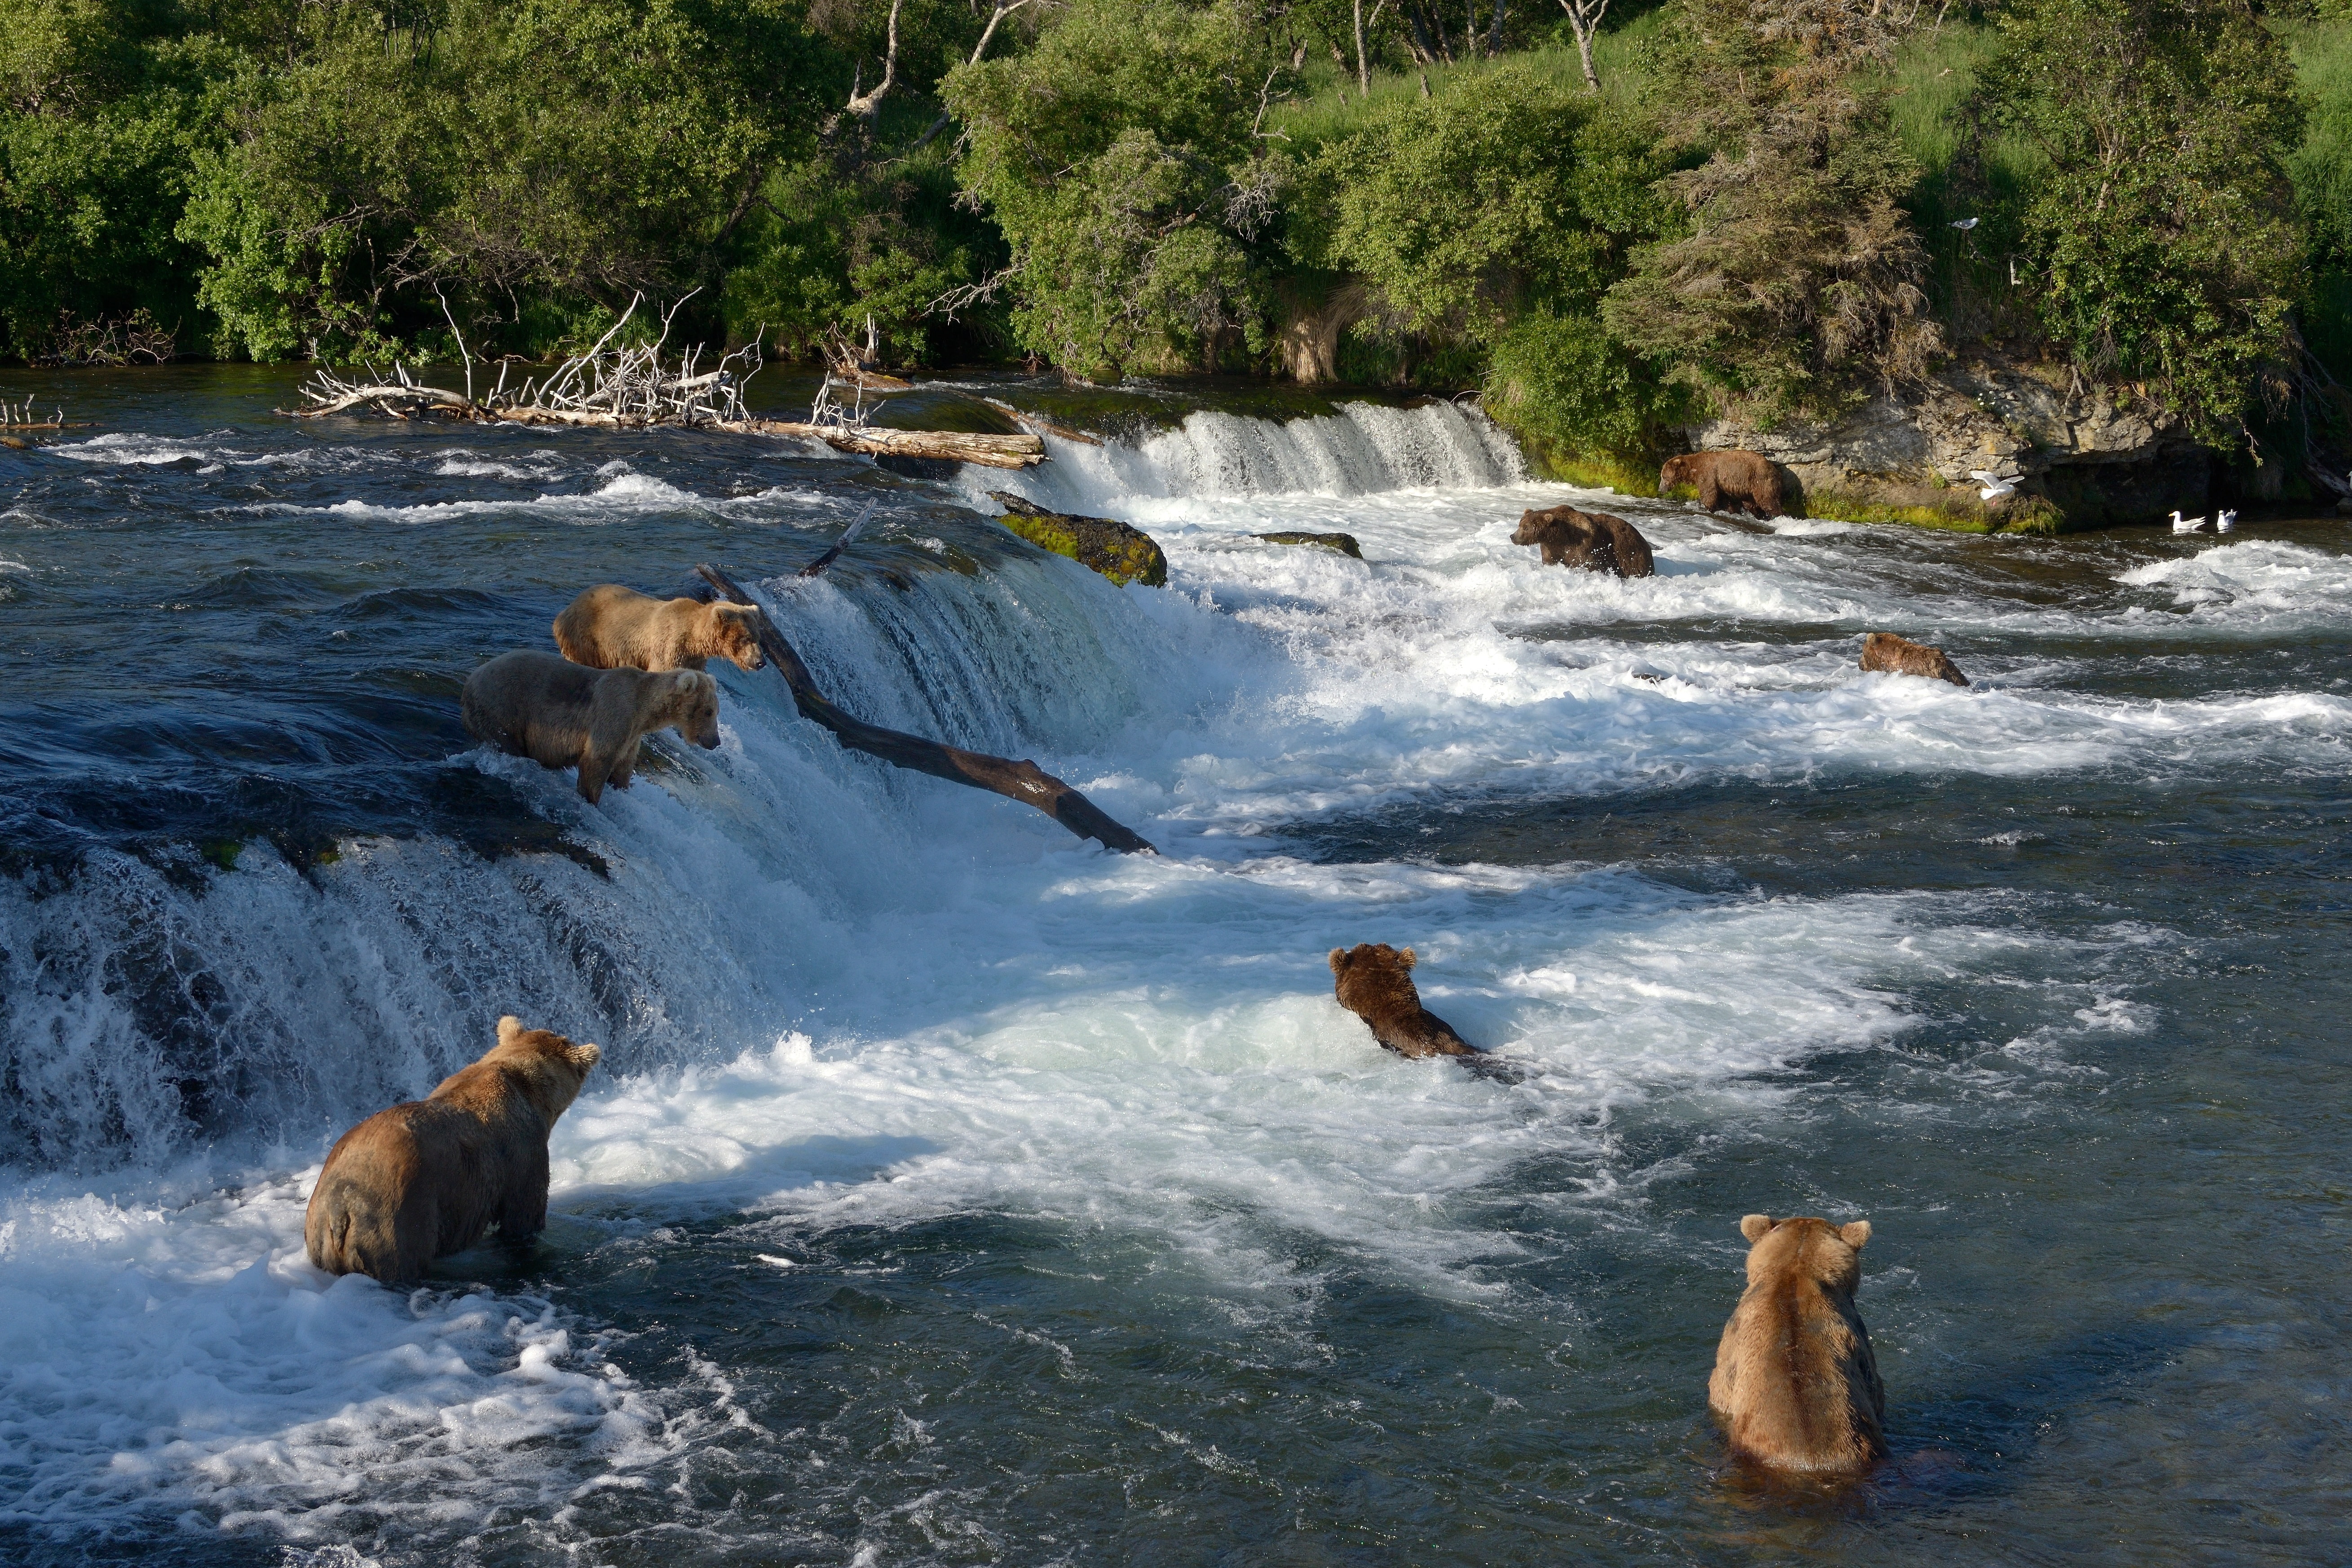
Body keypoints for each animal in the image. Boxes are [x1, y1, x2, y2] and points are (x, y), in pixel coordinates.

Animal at [461, 649, 721, 805]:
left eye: (716, 711)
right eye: (709, 711)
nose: (716, 741)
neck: (643, 710)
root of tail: (470, 681)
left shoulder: (632, 736)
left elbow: (623, 768)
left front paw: (620, 787)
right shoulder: (614, 715)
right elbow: (596, 762)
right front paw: (591, 799)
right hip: (503, 708)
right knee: (507, 742)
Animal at [552, 583, 767, 674]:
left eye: (758, 637)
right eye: (745, 638)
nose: (760, 662)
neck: (695, 640)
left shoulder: (693, 660)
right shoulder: (669, 647)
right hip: (586, 636)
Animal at [1511, 506, 1657, 578]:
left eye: (1526, 528)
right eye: (1520, 524)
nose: (1512, 536)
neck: (1560, 537)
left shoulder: (1583, 546)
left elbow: (1590, 565)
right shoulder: (1550, 548)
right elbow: (1550, 561)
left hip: (1630, 554)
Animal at [1659, 450, 1787, 520]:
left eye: (1664, 477)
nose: (1660, 490)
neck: (1693, 470)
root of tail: (1776, 470)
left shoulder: (1708, 475)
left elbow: (1709, 494)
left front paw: (1705, 507)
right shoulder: (1722, 485)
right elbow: (1726, 500)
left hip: (1761, 479)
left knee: (1768, 500)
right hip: (1749, 487)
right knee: (1751, 504)